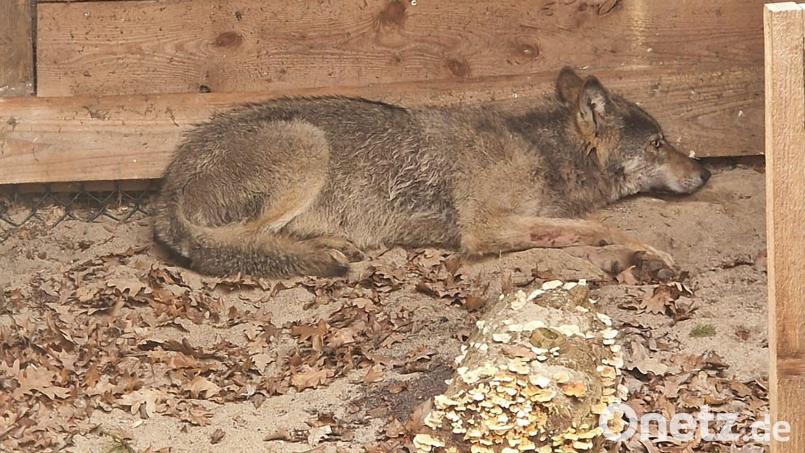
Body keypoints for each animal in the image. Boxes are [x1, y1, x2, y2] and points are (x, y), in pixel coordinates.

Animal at [153, 67, 710, 278]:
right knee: (240, 243)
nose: (705, 172)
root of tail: (168, 186)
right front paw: (647, 253)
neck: (541, 150)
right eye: (659, 144)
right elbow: (600, 227)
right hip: (308, 145)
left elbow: (586, 226)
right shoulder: (484, 229)